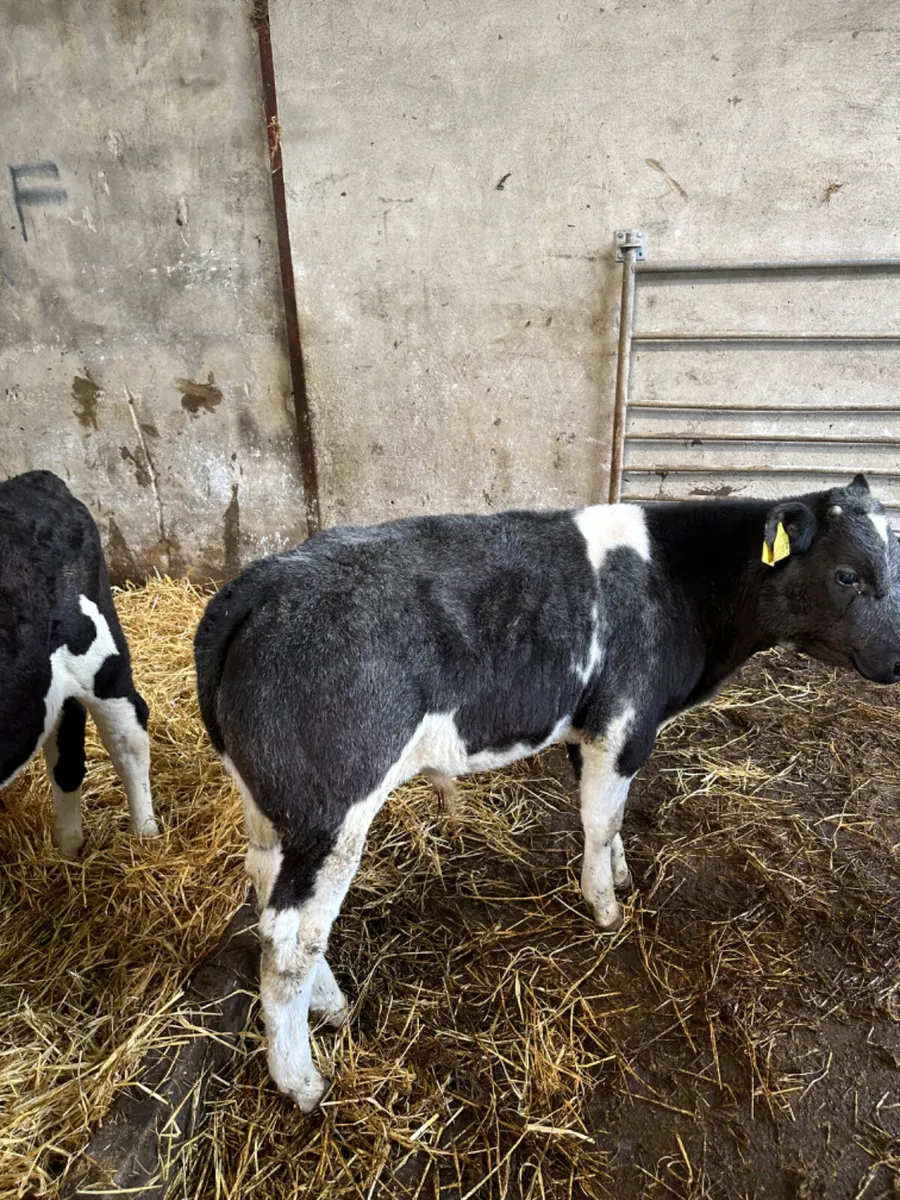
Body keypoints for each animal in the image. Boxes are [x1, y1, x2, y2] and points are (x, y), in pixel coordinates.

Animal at [0, 471, 158, 856]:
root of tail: (35, 479)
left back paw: (145, 837)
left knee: (127, 739)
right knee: (66, 751)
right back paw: (68, 851)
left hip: (100, 659)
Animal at [194, 474, 900, 1111]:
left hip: (272, 808)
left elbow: (614, 818)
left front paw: (620, 875)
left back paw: (330, 1003)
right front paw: (606, 906)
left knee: (267, 889)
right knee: (289, 937)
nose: (897, 658)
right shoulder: (622, 721)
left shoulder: (597, 729)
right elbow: (599, 819)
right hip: (332, 810)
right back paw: (302, 1080)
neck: (681, 583)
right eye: (847, 575)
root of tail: (260, 581)